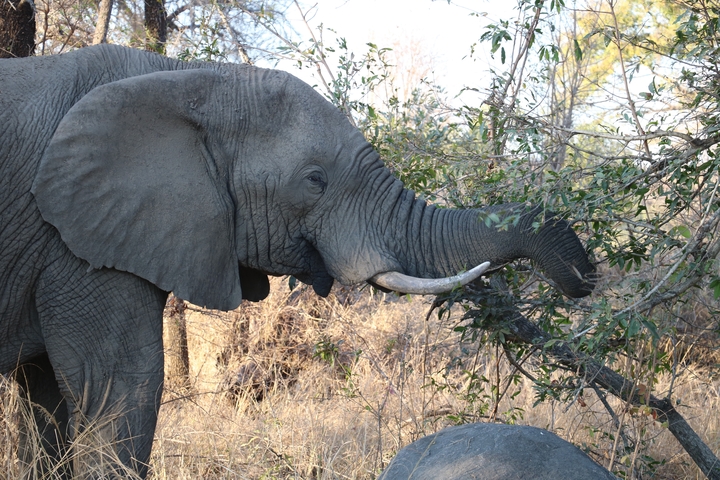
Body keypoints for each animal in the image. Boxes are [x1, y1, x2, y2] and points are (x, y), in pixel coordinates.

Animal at [0, 44, 595, 477]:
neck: (186, 79)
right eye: (314, 181)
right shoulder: (75, 239)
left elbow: (46, 405)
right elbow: (120, 392)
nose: (584, 278)